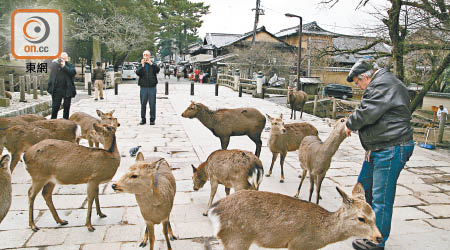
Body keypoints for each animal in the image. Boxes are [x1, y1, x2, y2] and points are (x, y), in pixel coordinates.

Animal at [209, 182, 382, 250]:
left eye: (374, 214)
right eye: (361, 218)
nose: (379, 237)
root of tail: (214, 210)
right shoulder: (298, 244)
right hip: (236, 237)